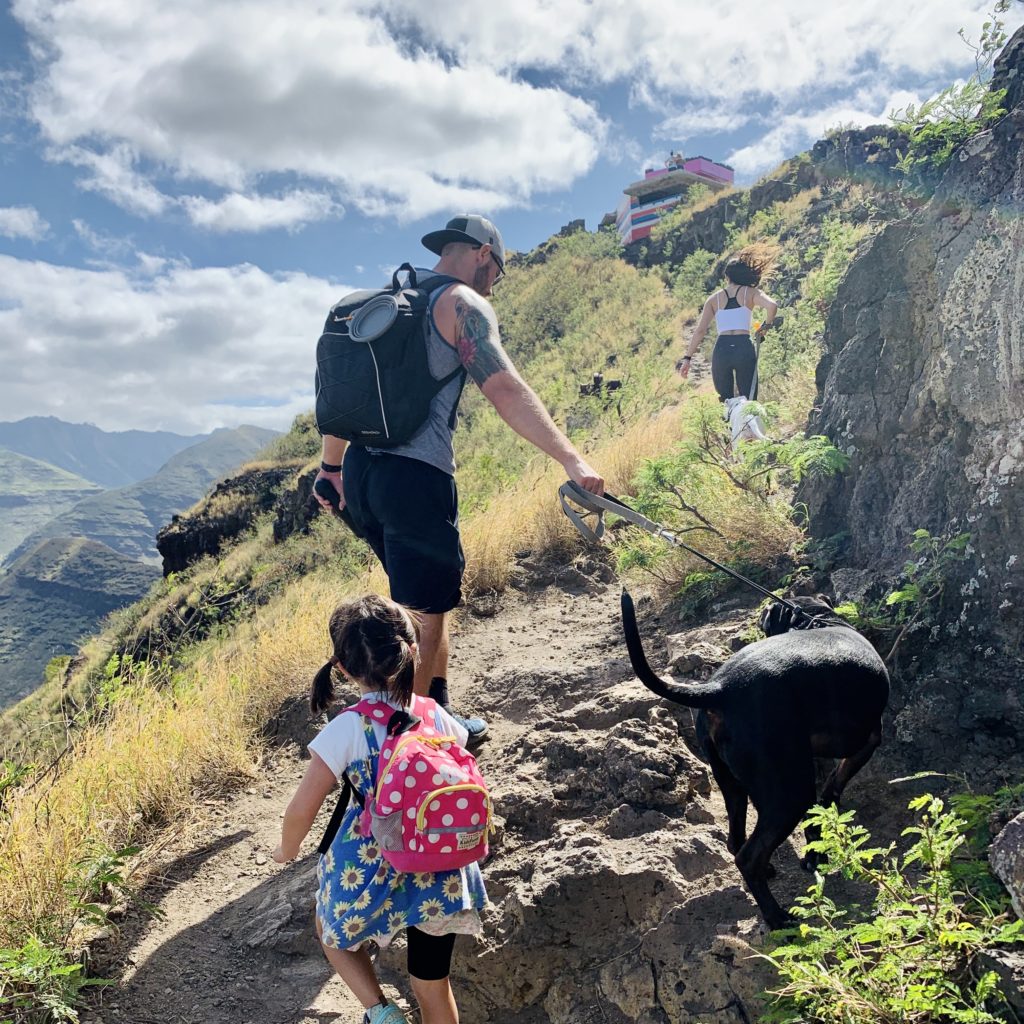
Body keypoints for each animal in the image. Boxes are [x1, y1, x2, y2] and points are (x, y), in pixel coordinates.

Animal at [618, 589, 892, 933]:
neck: (816, 619)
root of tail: (719, 690)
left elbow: (817, 811)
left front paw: (814, 853)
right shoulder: (866, 743)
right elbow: (832, 790)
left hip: (735, 784)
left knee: (736, 842)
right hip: (790, 795)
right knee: (748, 857)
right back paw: (777, 917)